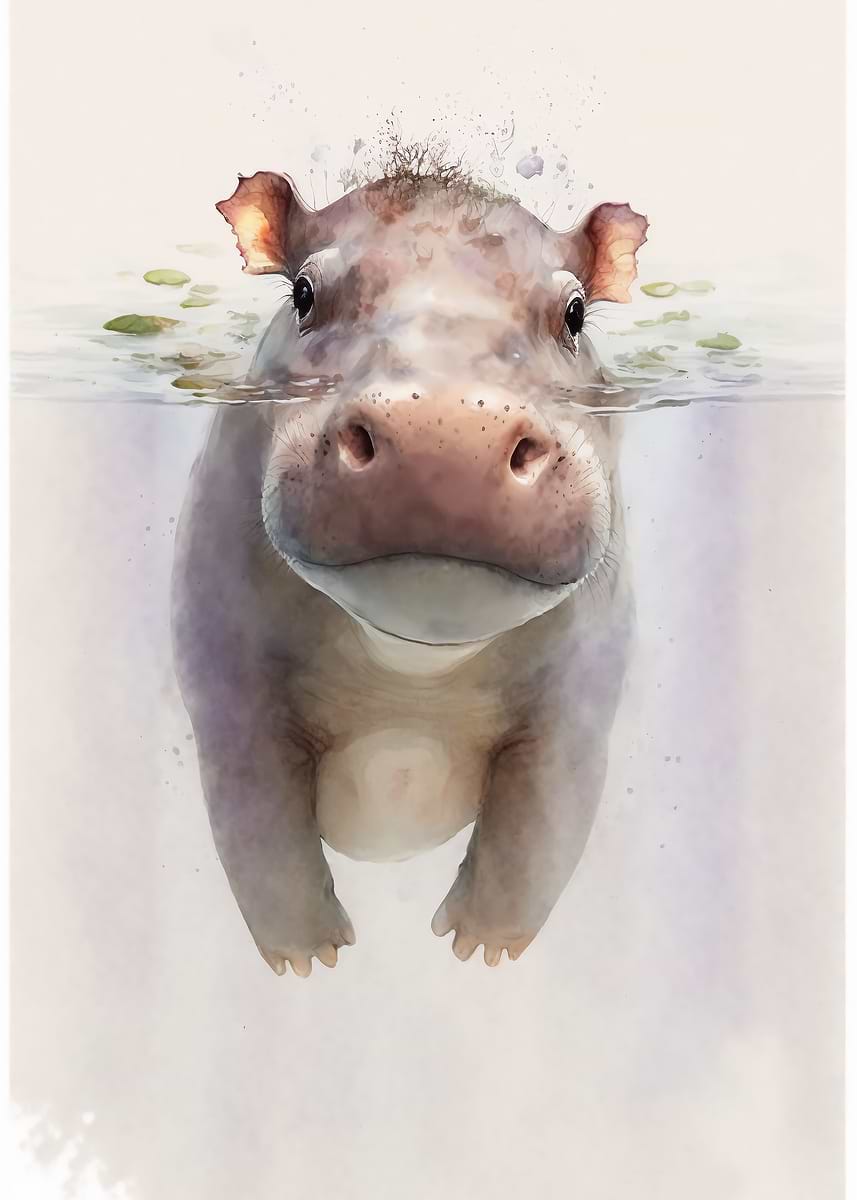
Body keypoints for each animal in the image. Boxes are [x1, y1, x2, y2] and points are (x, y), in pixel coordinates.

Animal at [171, 150, 648, 975]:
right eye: (303, 293)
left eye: (575, 314)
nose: (446, 426)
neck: (412, 668)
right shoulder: (230, 692)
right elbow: (261, 838)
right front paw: (312, 958)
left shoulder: (575, 708)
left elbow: (537, 837)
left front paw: (478, 948)